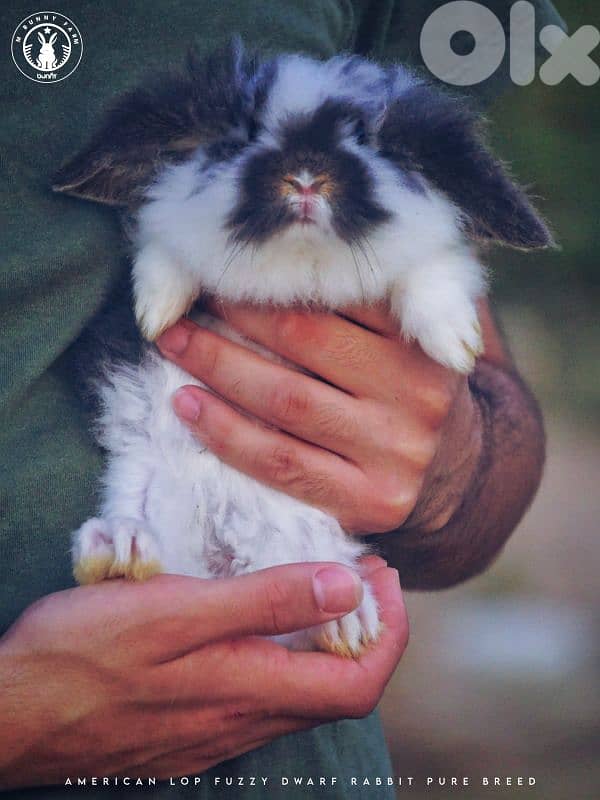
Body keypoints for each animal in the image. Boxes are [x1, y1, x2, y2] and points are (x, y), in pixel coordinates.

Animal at [53, 40, 552, 657]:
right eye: (242, 136)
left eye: (366, 138)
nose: (307, 178)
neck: (298, 266)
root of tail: (226, 554)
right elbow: (162, 239)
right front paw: (156, 309)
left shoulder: (428, 251)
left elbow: (434, 266)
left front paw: (456, 343)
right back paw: (117, 549)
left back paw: (348, 621)